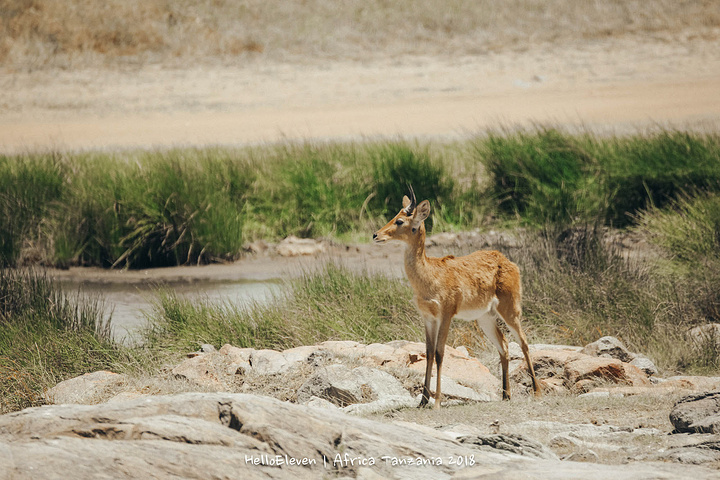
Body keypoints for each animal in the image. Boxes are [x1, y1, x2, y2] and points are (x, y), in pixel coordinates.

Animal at [374, 189, 536, 406]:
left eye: (400, 220)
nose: (376, 234)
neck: (430, 275)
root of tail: (506, 260)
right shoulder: (428, 318)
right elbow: (429, 353)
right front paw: (423, 401)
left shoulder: (446, 315)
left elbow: (440, 353)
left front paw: (436, 402)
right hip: (485, 317)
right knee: (504, 344)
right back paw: (506, 395)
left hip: (510, 310)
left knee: (524, 342)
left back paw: (537, 391)